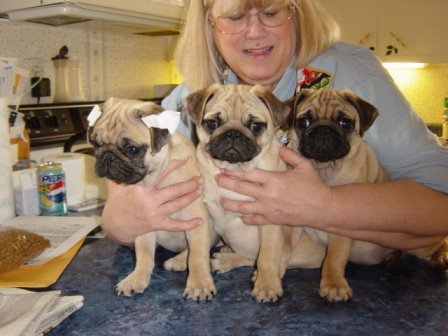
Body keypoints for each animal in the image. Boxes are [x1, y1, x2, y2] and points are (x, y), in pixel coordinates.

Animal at [88, 96, 217, 300]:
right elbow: (144, 257)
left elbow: (197, 256)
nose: (107, 157)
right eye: (95, 144)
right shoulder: (146, 226)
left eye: (133, 150)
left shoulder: (197, 222)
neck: (156, 176)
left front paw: (199, 283)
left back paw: (180, 260)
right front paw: (137, 278)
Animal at [288, 88, 446, 302]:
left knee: (440, 243)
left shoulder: (339, 230)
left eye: (345, 123)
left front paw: (333, 284)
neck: (323, 168)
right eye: (303, 121)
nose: (323, 129)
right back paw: (394, 257)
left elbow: (333, 259)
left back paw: (440, 258)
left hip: (418, 243)